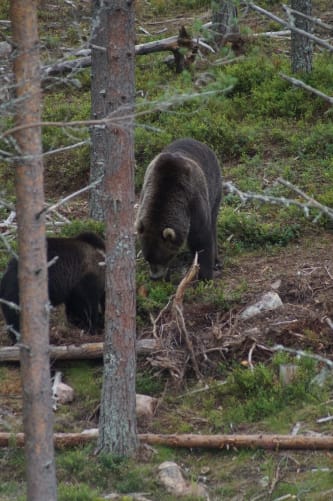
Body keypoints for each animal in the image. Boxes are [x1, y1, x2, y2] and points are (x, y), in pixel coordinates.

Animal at [135, 137, 220, 282]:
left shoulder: (194, 199)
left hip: (214, 186)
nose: (154, 277)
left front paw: (205, 275)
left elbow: (202, 237)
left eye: (162, 258)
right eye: (147, 258)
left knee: (213, 222)